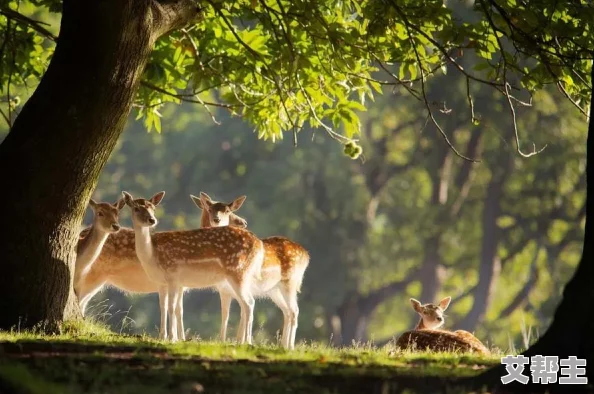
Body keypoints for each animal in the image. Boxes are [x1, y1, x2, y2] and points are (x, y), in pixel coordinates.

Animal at [74, 194, 250, 338]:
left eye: (228, 209)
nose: (243, 222)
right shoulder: (179, 283)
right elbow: (178, 309)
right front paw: (178, 338)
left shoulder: (179, 284)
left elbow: (177, 308)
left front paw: (175, 337)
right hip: (92, 274)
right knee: (79, 300)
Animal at [123, 189, 264, 344]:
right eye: (136, 208)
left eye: (153, 208)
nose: (152, 220)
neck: (151, 255)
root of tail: (259, 244)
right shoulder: (162, 282)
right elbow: (163, 307)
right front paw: (162, 337)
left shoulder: (174, 277)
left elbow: (172, 307)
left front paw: (172, 338)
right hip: (242, 276)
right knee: (246, 304)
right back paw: (242, 341)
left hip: (238, 271)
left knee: (249, 303)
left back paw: (247, 342)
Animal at [191, 192, 310, 350]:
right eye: (210, 209)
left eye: (228, 211)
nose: (243, 222)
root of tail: (306, 255)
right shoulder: (225, 289)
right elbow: (228, 315)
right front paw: (232, 341)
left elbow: (237, 313)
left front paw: (237, 341)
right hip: (274, 290)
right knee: (287, 311)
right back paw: (284, 345)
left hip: (290, 282)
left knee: (294, 310)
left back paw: (289, 346)